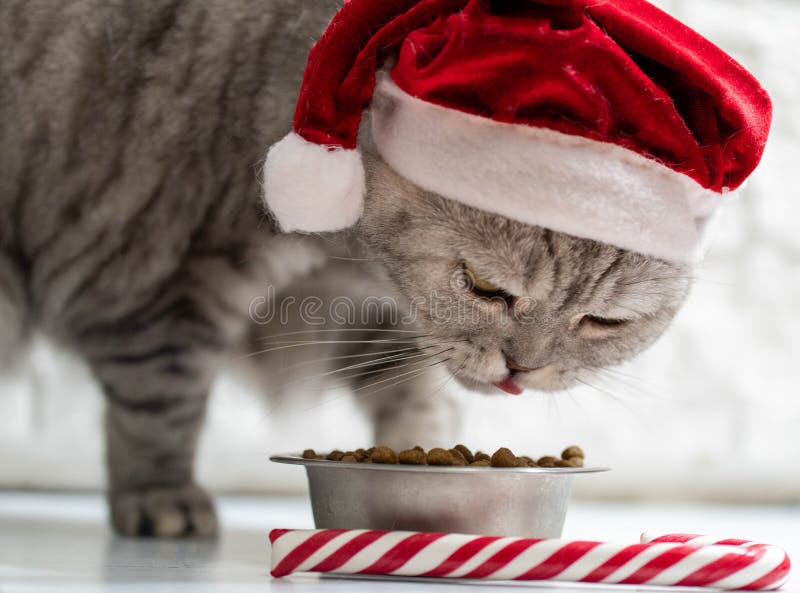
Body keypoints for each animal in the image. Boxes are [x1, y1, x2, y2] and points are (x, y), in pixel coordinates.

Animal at [0, 0, 688, 536]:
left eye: (603, 321)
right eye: (486, 287)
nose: (522, 371)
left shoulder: (366, 315)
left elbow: (412, 397)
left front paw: (428, 454)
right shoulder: (160, 282)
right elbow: (161, 409)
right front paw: (161, 497)